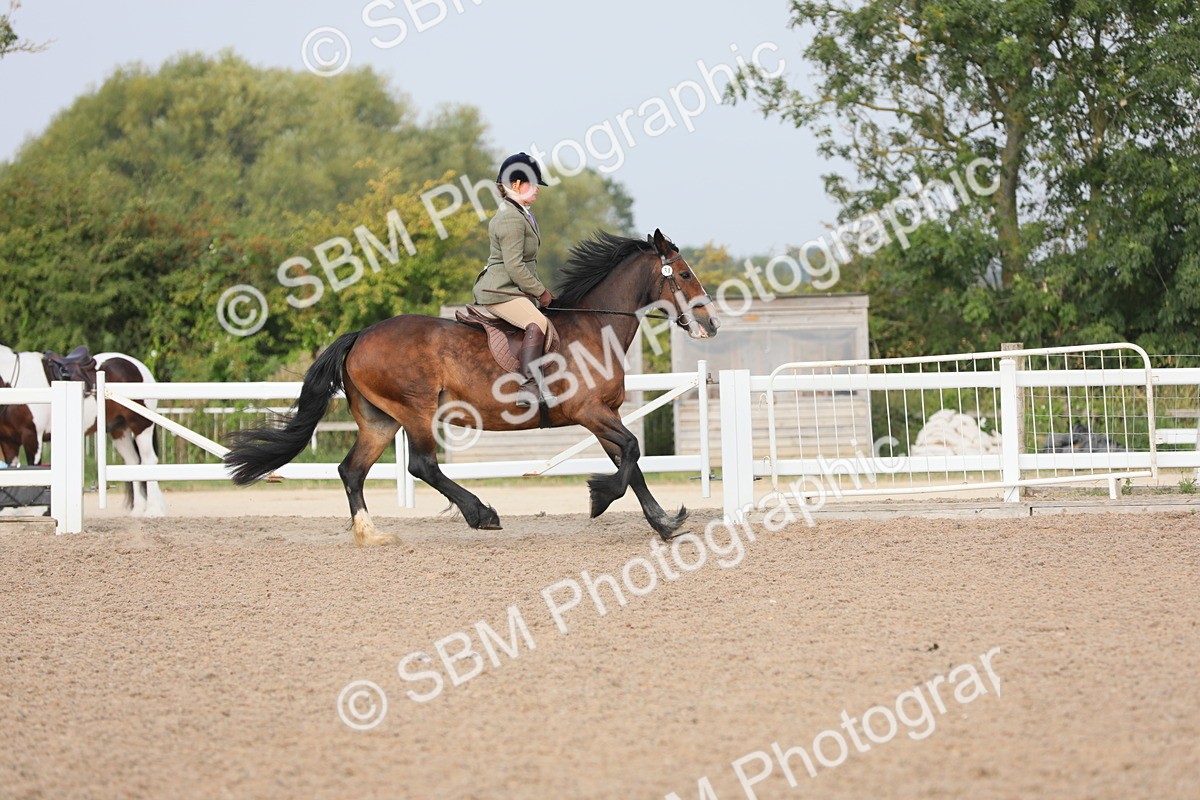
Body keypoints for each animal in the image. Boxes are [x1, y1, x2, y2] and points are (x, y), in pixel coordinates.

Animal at [225, 229, 721, 546]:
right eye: (684, 274)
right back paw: (481, 514)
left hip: (380, 420)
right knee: (422, 465)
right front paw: (600, 498)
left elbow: (631, 464)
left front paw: (664, 524)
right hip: (416, 411)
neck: (593, 327)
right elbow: (631, 454)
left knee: (352, 470)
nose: (712, 324)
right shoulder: (590, 413)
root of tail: (361, 334)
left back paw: (371, 534)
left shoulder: (605, 416)